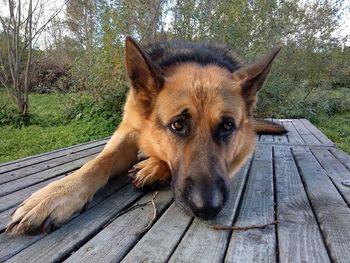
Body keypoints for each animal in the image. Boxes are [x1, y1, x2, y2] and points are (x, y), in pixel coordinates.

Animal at [5, 36, 286, 235]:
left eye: (227, 126)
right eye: (177, 125)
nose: (208, 207)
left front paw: (155, 166)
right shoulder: (128, 131)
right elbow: (98, 163)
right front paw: (56, 195)